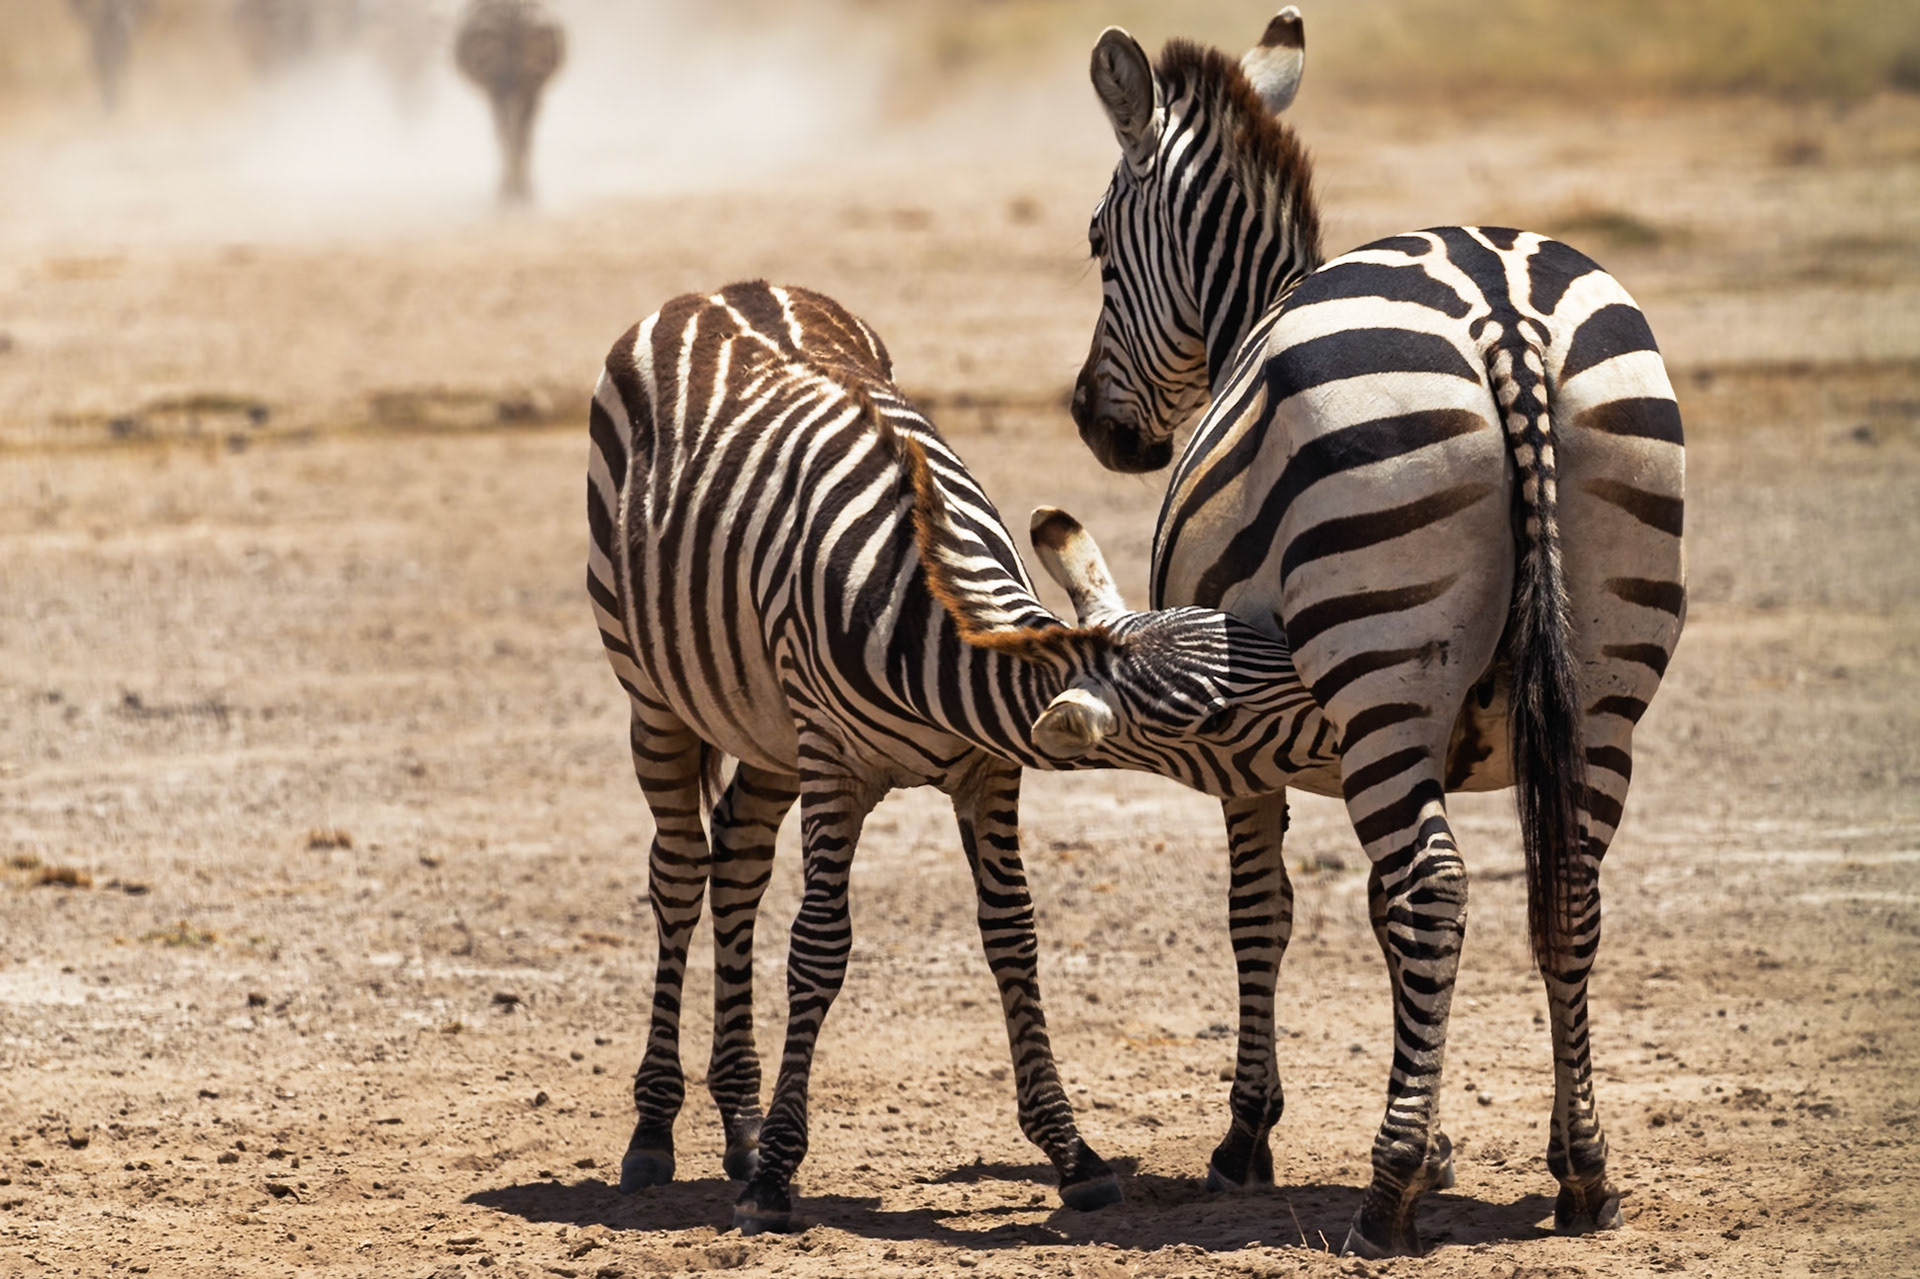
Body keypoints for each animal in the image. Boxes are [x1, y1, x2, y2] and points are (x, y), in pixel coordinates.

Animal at [454, 0, 564, 207]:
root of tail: (513, 22)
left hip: (500, 83)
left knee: (508, 132)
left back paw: (509, 194)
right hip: (523, 83)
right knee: (520, 134)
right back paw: (521, 193)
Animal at [586, 280, 1329, 1234]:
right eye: (1222, 713)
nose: (1349, 707)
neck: (926, 624)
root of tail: (716, 290)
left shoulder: (984, 769)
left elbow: (1013, 933)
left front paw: (1072, 1151)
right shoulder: (833, 763)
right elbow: (819, 947)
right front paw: (779, 1174)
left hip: (764, 725)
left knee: (739, 864)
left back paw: (741, 1121)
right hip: (655, 695)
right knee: (679, 872)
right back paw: (654, 1132)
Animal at [1070, 9, 1686, 1258]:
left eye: (1101, 245)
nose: (1095, 428)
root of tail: (1504, 309)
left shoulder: (1239, 737)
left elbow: (1265, 913)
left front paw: (1249, 1136)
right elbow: (1374, 911)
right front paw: (1449, 1129)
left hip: (1380, 670)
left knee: (1435, 892)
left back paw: (1387, 1195)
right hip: (1602, 671)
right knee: (1567, 894)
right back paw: (1584, 1176)